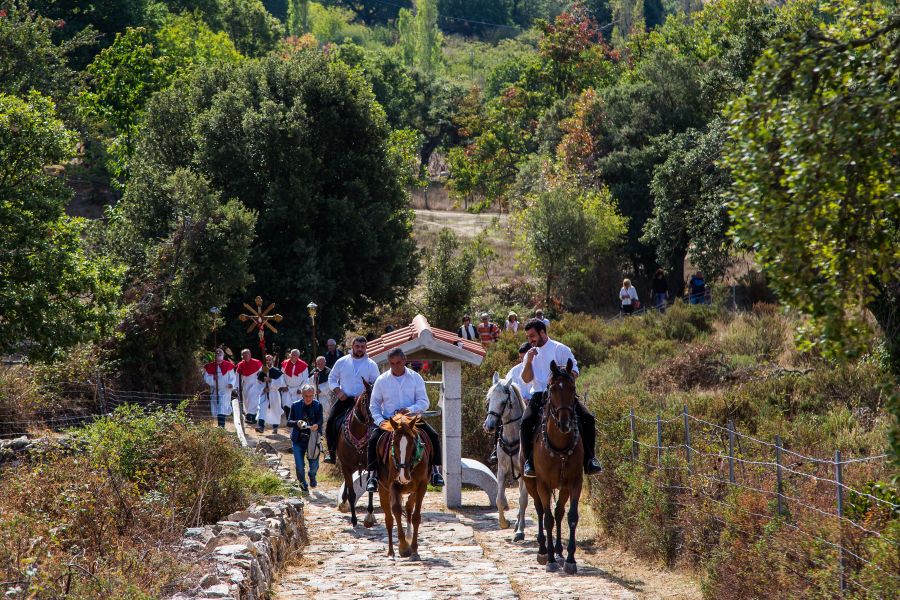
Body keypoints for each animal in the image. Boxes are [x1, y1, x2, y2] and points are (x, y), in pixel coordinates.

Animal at [340, 380, 378, 524]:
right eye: (365, 400)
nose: (374, 421)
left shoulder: (371, 465)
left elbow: (370, 489)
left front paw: (369, 516)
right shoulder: (345, 465)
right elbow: (352, 494)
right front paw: (354, 519)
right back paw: (343, 502)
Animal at [372, 414, 428, 560]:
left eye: (412, 442)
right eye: (394, 443)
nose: (403, 476)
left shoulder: (422, 486)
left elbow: (416, 517)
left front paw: (414, 550)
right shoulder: (393, 485)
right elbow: (396, 510)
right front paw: (403, 547)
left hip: (412, 489)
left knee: (409, 506)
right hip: (383, 490)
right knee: (389, 519)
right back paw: (391, 552)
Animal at [486, 372, 528, 540]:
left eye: (504, 402)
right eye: (489, 399)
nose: (489, 426)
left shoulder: (525, 472)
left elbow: (523, 500)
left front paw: (520, 531)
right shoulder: (502, 469)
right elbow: (498, 499)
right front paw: (504, 523)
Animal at [520, 358, 584, 576]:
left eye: (573, 388)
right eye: (553, 388)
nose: (565, 423)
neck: (560, 446)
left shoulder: (575, 482)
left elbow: (571, 517)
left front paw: (570, 559)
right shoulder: (543, 484)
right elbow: (546, 518)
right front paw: (549, 559)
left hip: (562, 487)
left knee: (558, 512)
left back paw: (558, 550)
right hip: (531, 484)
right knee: (541, 511)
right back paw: (542, 549)